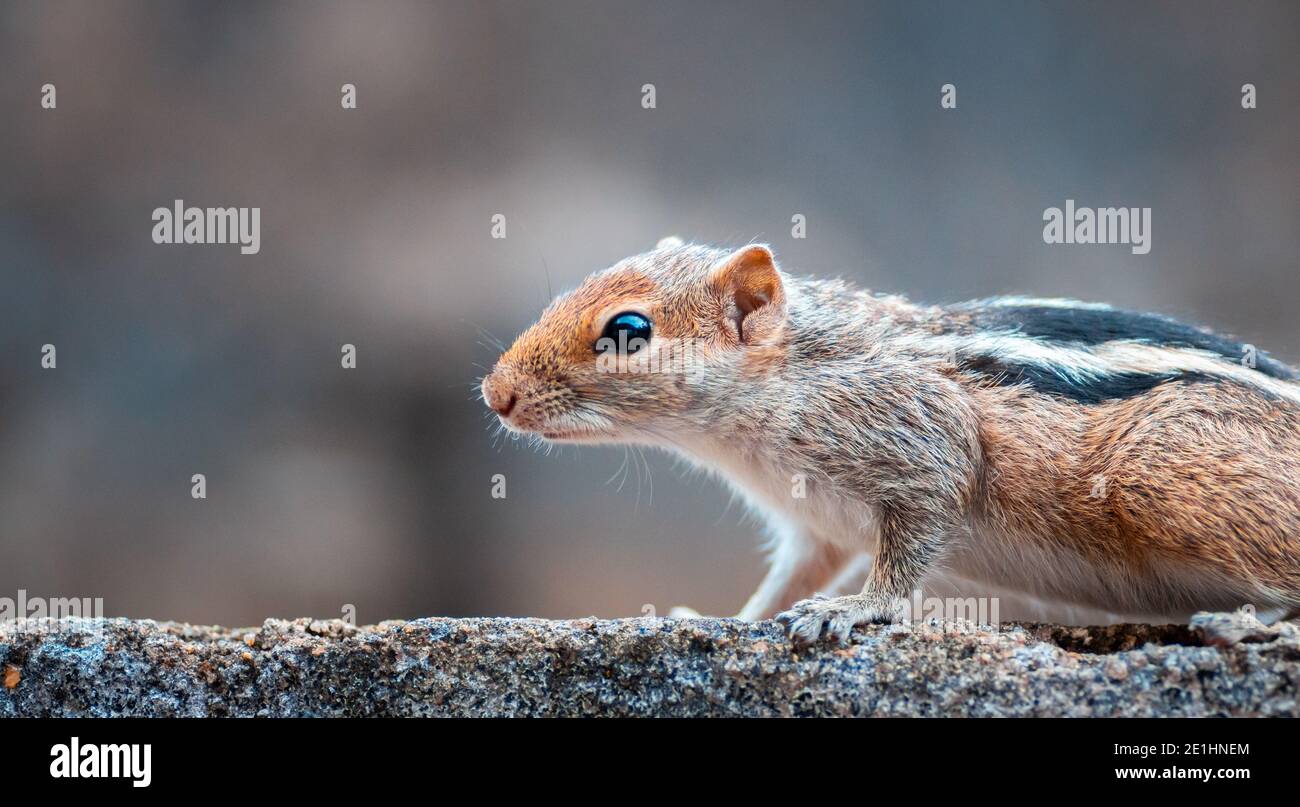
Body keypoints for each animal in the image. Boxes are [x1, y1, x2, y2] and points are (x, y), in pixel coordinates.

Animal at [480, 239, 1300, 641]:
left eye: (627, 329)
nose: (495, 394)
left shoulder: (922, 439)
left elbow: (912, 539)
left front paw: (856, 611)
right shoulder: (813, 526)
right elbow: (793, 576)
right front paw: (724, 618)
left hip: (1154, 479)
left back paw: (1250, 626)